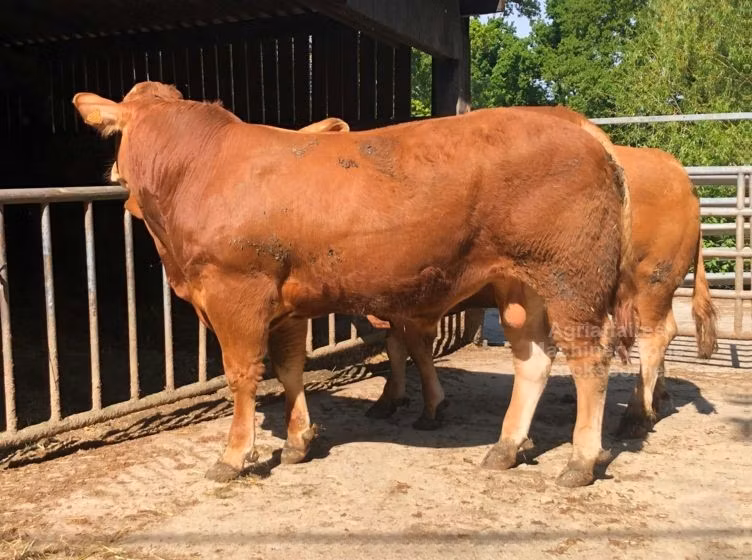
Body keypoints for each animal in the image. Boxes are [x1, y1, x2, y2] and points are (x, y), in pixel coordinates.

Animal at [73, 81, 635, 487]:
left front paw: (234, 456)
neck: (195, 169)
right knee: (533, 358)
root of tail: (573, 122)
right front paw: (299, 442)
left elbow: (242, 375)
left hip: (573, 280)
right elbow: (290, 369)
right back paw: (506, 448)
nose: (110, 173)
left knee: (588, 359)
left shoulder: (235, 292)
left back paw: (580, 461)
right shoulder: (288, 304)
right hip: (522, 287)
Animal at [360, 106, 717, 444]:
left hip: (651, 282)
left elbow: (410, 347)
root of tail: (671, 166)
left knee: (654, 337)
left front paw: (417, 404)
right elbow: (398, 346)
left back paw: (636, 416)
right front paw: (394, 398)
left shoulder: (410, 303)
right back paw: (656, 400)